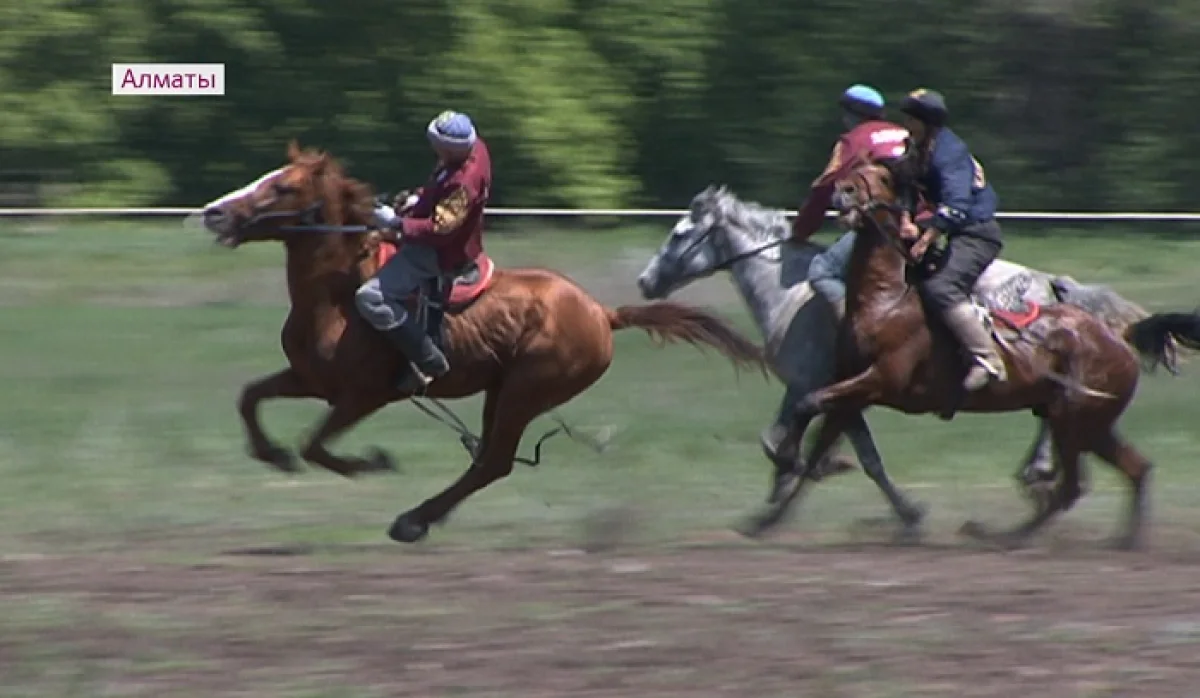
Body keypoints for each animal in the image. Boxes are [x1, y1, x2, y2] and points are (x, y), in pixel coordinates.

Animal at [196, 143, 763, 546]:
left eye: (283, 186)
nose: (214, 213)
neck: (337, 297)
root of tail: (602, 312)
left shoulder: (365, 395)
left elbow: (315, 445)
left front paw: (373, 462)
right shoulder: (311, 380)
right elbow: (250, 397)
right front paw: (272, 455)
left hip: (524, 393)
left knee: (493, 463)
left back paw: (411, 520)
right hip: (502, 392)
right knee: (489, 461)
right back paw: (418, 519)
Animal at [638, 185, 1190, 508]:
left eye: (679, 233)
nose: (645, 282)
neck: (790, 293)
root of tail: (1053, 284)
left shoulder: (821, 387)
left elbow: (818, 448)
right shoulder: (822, 390)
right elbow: (805, 443)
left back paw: (1038, 472)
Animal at [748, 159, 1200, 551]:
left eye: (881, 176)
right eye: (853, 170)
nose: (841, 192)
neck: (885, 302)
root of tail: (1119, 336)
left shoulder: (878, 381)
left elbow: (808, 404)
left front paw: (784, 457)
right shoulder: (850, 394)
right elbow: (815, 446)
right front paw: (765, 517)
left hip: (1076, 423)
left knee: (1075, 486)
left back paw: (1008, 536)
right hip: (1088, 425)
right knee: (1131, 470)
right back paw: (1116, 540)